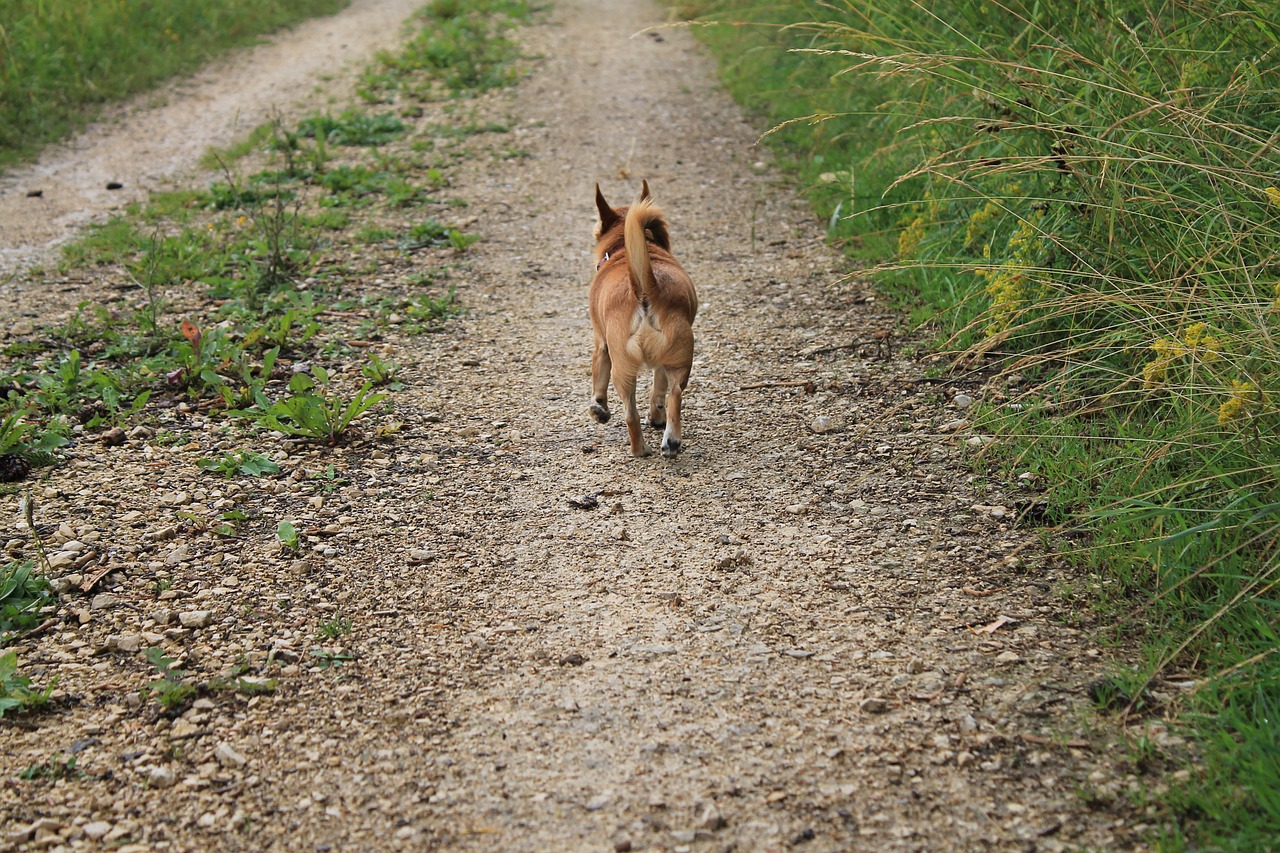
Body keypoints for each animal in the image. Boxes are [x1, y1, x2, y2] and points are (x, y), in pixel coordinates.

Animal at [588, 181, 701, 455]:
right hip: (674, 361)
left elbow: (598, 382)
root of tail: (644, 288)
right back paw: (666, 442)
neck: (623, 250)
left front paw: (599, 409)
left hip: (633, 366)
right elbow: (658, 391)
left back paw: (648, 447)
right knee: (667, 398)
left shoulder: (601, 344)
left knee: (643, 408)